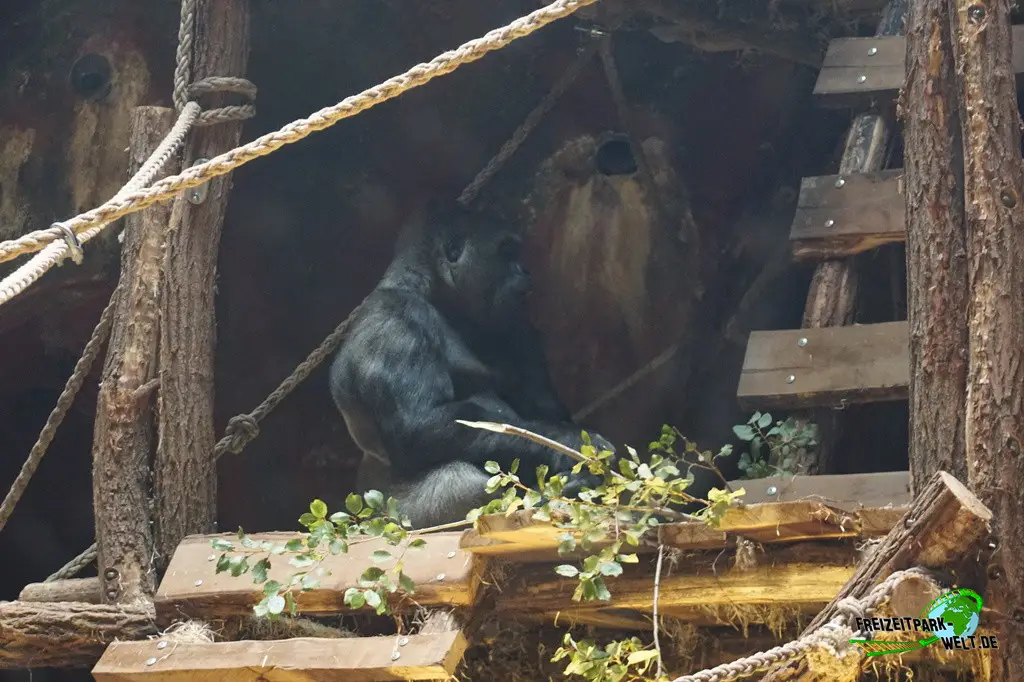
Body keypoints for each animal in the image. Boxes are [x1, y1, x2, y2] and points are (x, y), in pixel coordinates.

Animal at [329, 203, 614, 529]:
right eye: (506, 251)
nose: (524, 270)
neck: (431, 292)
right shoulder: (393, 318)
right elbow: (420, 424)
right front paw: (572, 445)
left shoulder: (517, 323)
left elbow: (546, 412)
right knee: (454, 479)